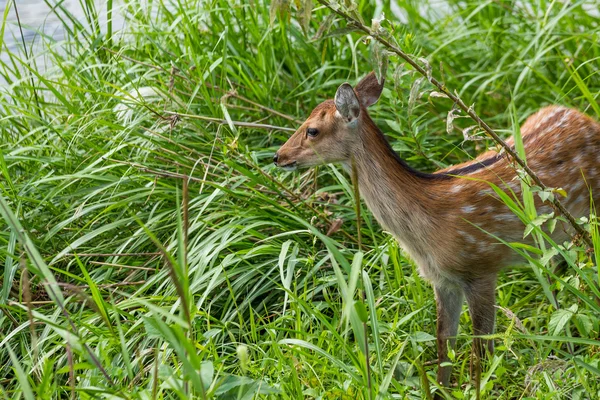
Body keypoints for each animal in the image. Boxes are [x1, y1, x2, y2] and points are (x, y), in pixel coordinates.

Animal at [274, 71, 600, 394]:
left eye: (312, 130)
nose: (278, 156)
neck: (426, 230)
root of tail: (586, 118)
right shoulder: (441, 279)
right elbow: (444, 342)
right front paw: (443, 389)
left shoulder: (481, 266)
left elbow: (481, 347)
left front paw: (480, 387)